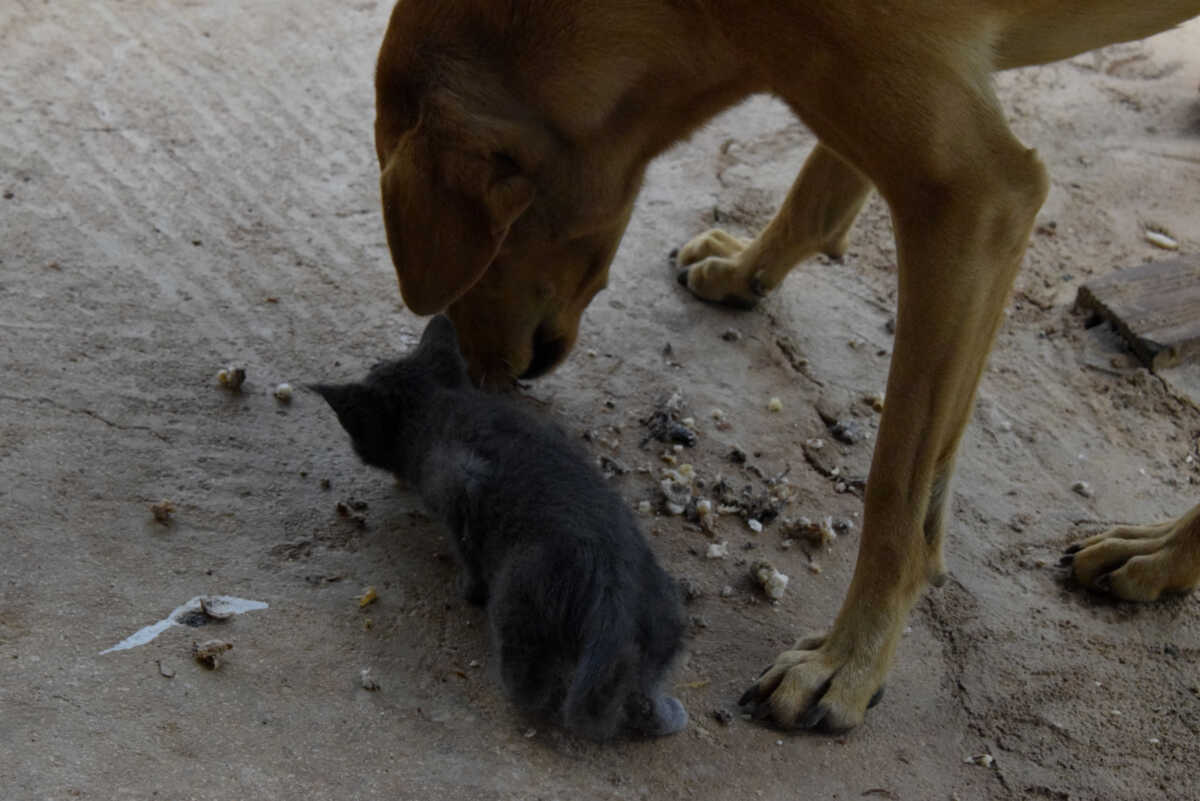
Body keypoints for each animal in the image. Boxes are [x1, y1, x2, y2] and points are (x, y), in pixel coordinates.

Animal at [314, 316, 691, 743]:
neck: (444, 406)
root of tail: (616, 594)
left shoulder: (457, 486)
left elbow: (467, 550)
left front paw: (468, 589)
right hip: (662, 625)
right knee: (642, 691)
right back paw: (667, 715)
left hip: (519, 600)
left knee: (532, 683)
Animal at [372, 1, 1200, 733]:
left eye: (481, 251)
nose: (481, 374)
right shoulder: (854, 104)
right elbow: (822, 189)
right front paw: (746, 267)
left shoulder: (973, 197)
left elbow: (899, 490)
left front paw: (848, 659)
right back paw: (1163, 556)